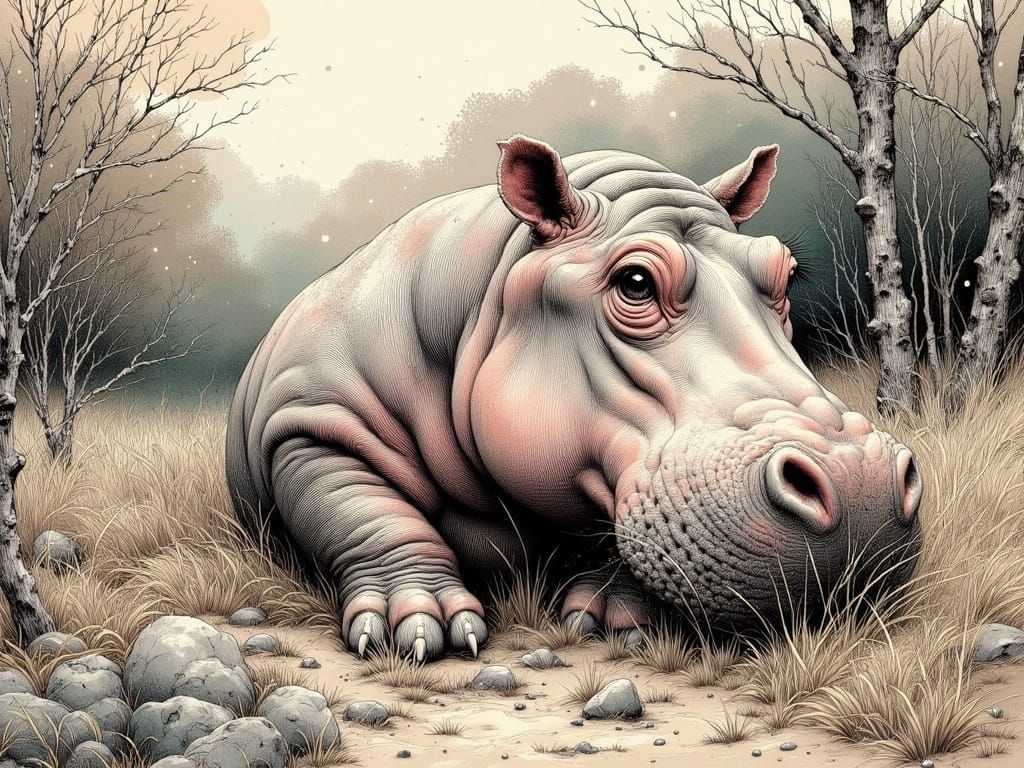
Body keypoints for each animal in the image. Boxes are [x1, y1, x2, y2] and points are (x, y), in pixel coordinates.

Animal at [226, 135, 923, 662]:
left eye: (786, 273)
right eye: (635, 282)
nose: (862, 489)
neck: (496, 284)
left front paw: (619, 621)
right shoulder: (308, 420)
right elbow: (364, 511)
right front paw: (420, 629)